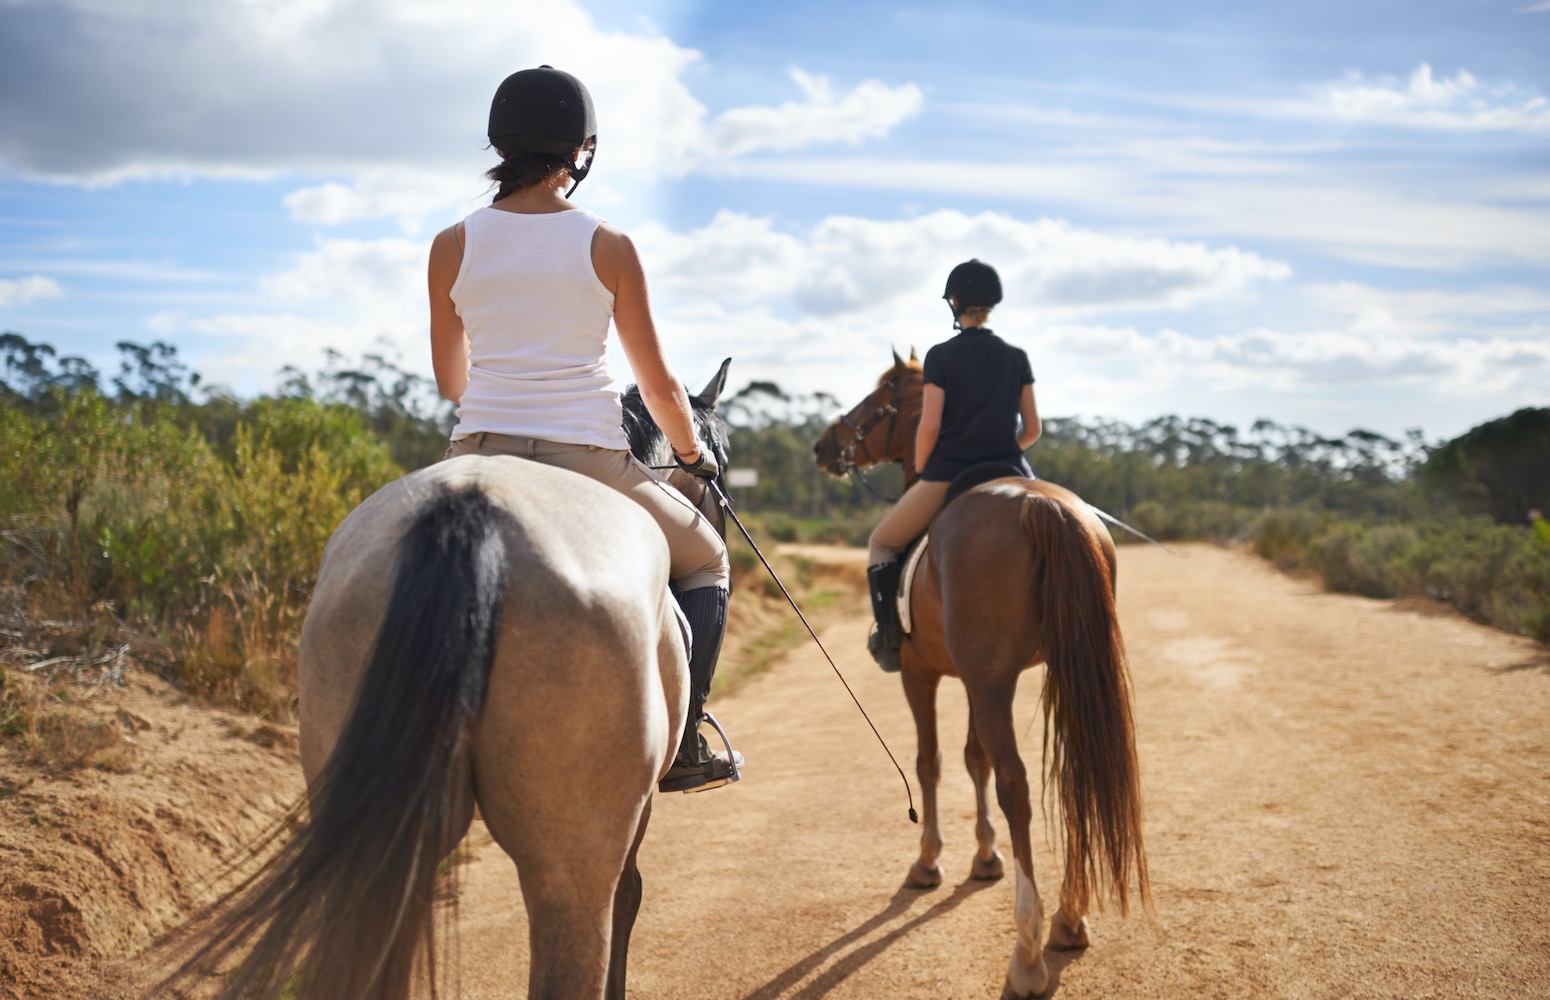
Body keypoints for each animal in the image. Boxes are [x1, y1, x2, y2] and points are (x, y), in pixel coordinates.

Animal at [160, 364, 728, 998]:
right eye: (721, 456)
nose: (718, 491)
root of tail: (472, 516)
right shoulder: (635, 804)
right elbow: (630, 896)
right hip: (569, 855)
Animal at [818, 348, 1147, 992]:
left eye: (881, 395)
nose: (826, 446)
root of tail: (1043, 505)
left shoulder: (925, 675)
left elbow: (932, 761)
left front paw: (929, 860)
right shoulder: (979, 677)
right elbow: (975, 759)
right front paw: (985, 856)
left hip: (991, 682)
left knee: (1017, 782)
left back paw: (1027, 952)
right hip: (1056, 671)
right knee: (1069, 771)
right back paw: (1068, 919)